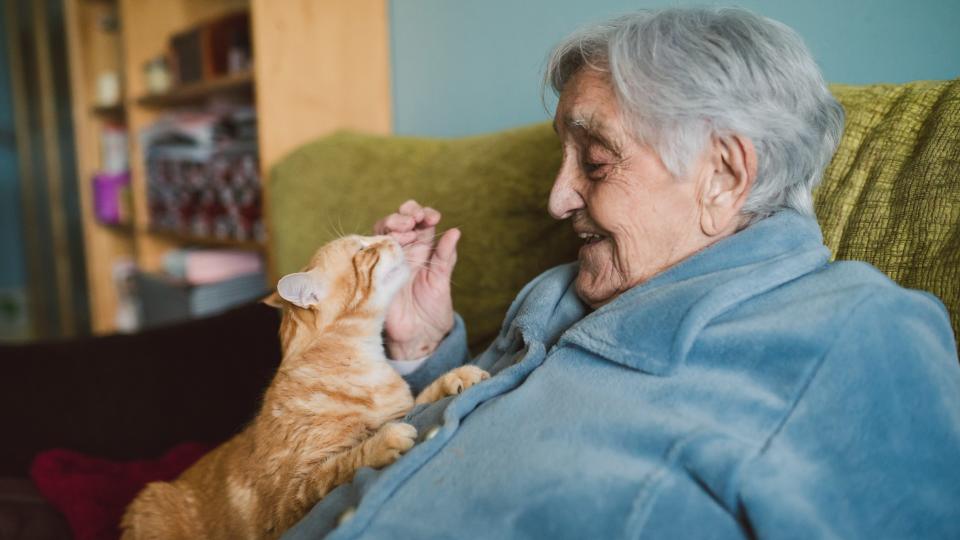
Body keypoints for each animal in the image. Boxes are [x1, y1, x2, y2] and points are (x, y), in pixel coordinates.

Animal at [122, 236, 488, 540]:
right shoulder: (290, 502)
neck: (363, 361)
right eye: (363, 249)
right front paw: (383, 441)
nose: (394, 237)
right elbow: (342, 465)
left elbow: (421, 397)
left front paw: (456, 377)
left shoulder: (401, 406)